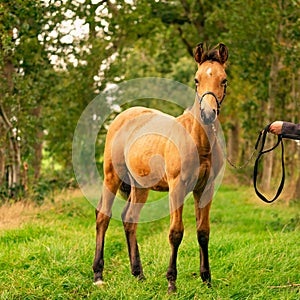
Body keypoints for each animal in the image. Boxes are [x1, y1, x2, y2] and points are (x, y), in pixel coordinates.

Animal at [92, 42, 229, 292]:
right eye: (196, 80)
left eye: (223, 80)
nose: (207, 114)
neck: (199, 141)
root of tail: (122, 116)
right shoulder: (177, 186)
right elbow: (176, 232)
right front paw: (171, 282)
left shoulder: (206, 188)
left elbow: (203, 232)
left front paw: (206, 279)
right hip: (112, 176)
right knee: (103, 217)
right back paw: (98, 274)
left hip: (140, 185)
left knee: (129, 218)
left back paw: (138, 273)